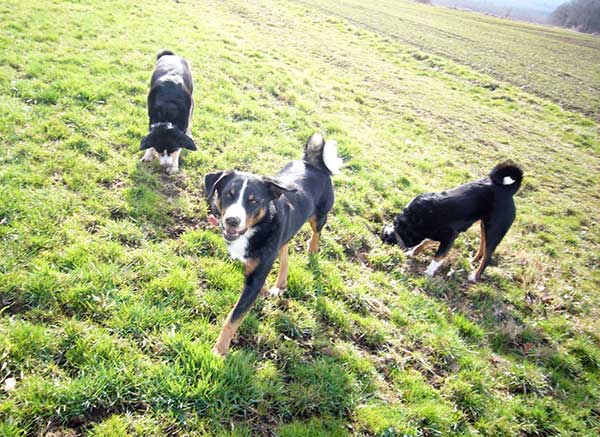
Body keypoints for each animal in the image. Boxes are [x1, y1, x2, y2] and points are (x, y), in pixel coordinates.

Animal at [205, 132, 342, 354]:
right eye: (228, 194)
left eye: (253, 200)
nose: (232, 220)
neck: (256, 227)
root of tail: (312, 163)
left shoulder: (257, 272)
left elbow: (233, 318)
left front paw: (219, 351)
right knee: (284, 249)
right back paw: (280, 284)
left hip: (319, 216)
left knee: (316, 232)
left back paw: (312, 250)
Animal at [382, 162, 524, 282]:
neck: (412, 221)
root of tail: (507, 190)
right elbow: (425, 242)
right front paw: (413, 252)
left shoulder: (450, 236)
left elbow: (438, 257)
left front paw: (429, 272)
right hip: (485, 226)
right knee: (482, 246)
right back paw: (473, 260)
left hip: (495, 231)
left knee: (487, 257)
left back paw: (474, 276)